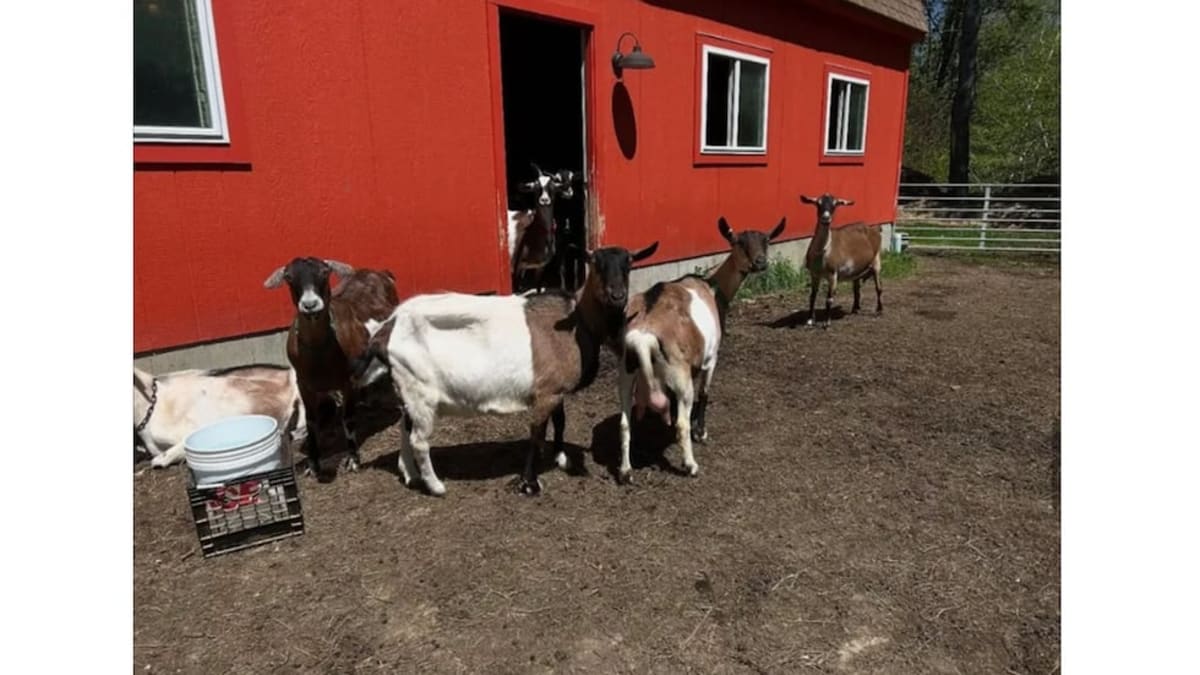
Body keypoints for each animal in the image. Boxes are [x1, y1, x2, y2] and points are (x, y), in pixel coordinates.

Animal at [263, 257, 399, 480]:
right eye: (288, 277)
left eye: (325, 272)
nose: (310, 305)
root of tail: (380, 272)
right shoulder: (304, 384)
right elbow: (312, 421)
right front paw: (313, 465)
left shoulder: (348, 381)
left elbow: (348, 419)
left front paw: (353, 461)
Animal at [355, 241, 659, 497]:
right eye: (596, 264)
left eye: (629, 264)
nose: (617, 295)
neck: (577, 322)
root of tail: (386, 330)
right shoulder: (545, 393)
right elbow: (536, 433)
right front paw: (530, 483)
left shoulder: (555, 389)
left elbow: (560, 421)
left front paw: (561, 458)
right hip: (420, 390)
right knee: (418, 439)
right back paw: (436, 485)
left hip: (407, 389)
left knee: (405, 428)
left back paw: (410, 475)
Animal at [508, 163, 579, 293]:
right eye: (536, 188)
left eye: (553, 188)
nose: (544, 200)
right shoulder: (516, 266)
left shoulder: (540, 266)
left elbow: (538, 288)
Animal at [615, 217, 785, 482]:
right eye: (738, 242)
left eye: (766, 240)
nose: (760, 263)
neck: (714, 288)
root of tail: (644, 333)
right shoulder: (711, 357)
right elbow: (704, 392)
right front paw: (701, 432)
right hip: (679, 372)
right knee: (681, 423)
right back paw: (690, 465)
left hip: (626, 370)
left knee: (624, 422)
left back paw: (625, 470)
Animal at [799, 193, 883, 328]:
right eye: (818, 204)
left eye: (834, 205)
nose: (826, 218)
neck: (824, 251)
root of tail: (873, 229)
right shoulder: (814, 274)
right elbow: (812, 296)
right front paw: (810, 320)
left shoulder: (833, 274)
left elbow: (829, 299)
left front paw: (827, 323)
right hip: (856, 269)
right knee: (856, 288)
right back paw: (855, 308)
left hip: (876, 260)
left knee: (878, 288)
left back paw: (879, 310)